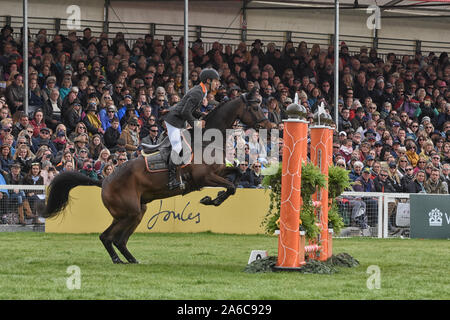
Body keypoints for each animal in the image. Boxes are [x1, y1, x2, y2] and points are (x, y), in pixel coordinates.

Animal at [42, 86, 272, 264]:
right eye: (254, 107)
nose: (268, 126)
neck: (208, 140)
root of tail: (104, 181)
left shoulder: (219, 170)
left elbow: (236, 176)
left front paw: (214, 198)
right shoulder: (204, 177)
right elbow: (231, 186)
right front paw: (210, 200)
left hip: (137, 212)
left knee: (119, 240)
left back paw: (132, 260)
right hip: (128, 212)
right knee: (106, 237)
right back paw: (117, 260)